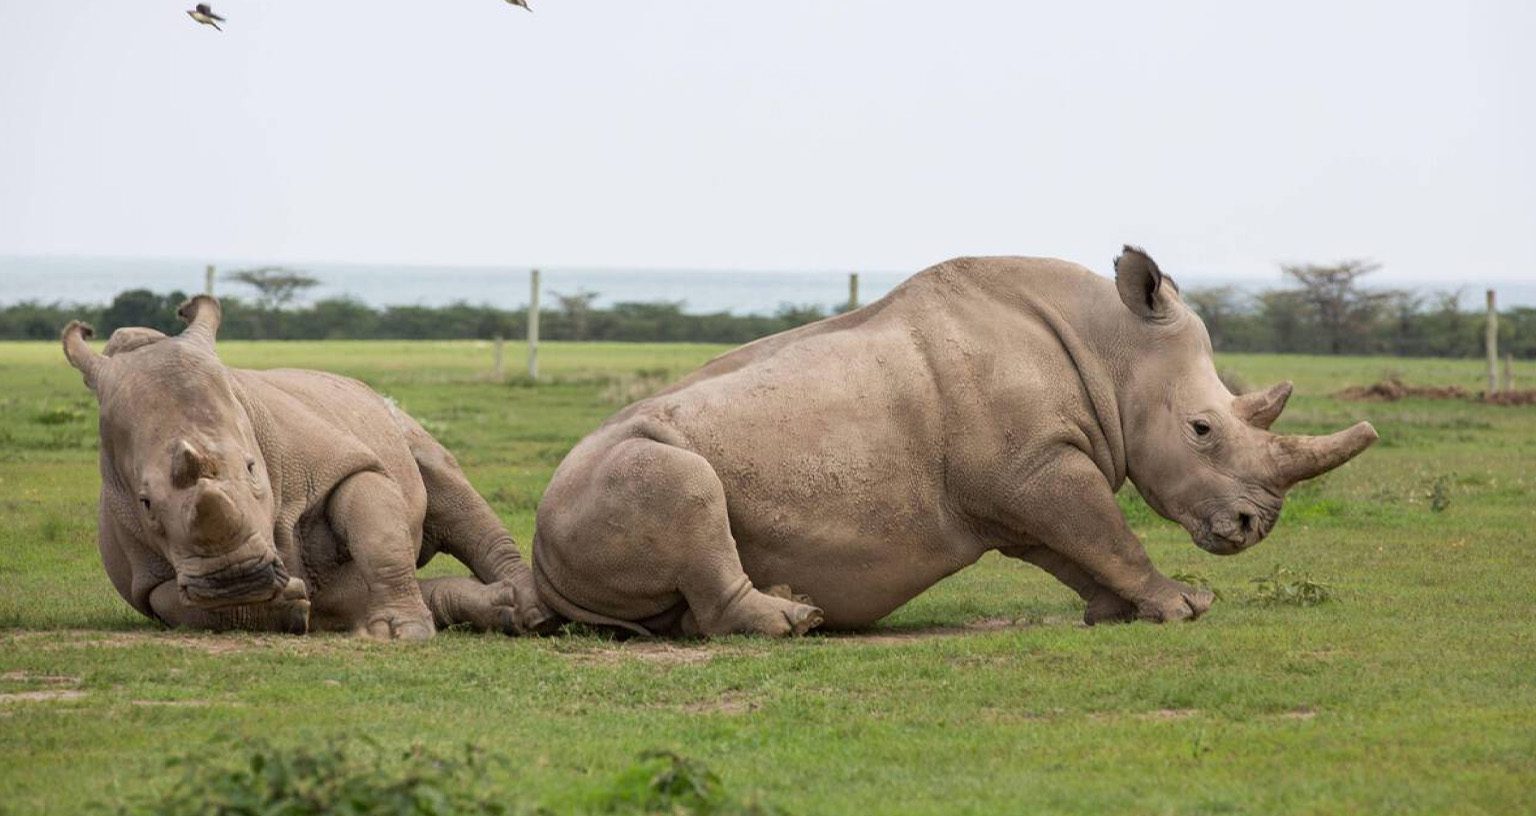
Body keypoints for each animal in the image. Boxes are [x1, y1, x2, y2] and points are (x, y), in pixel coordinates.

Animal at [62, 296, 548, 639]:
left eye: (253, 469)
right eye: (144, 503)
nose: (236, 578)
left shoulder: (341, 463)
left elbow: (381, 538)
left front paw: (404, 633)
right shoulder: (146, 579)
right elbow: (187, 608)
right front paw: (280, 605)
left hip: (387, 416)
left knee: (451, 494)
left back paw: (537, 613)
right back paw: (505, 612)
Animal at [532, 248, 1379, 636]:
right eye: (1202, 429)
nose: (1251, 528)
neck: (1113, 349)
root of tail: (540, 558)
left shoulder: (1018, 479)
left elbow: (1076, 548)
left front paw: (1115, 611)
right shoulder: (1038, 467)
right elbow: (1108, 531)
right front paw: (1183, 607)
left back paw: (794, 607)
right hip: (612, 471)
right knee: (680, 481)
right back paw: (796, 623)